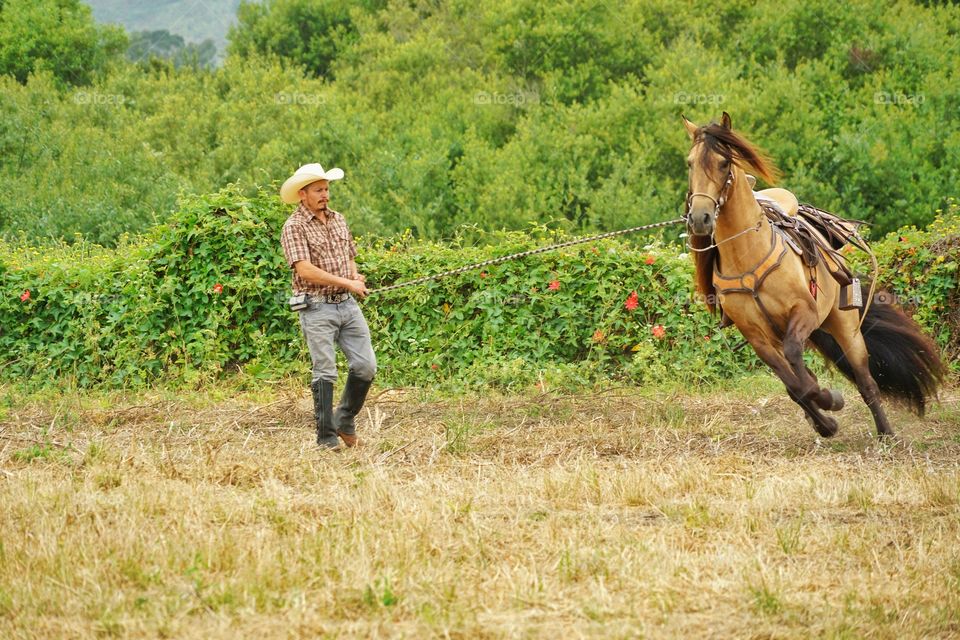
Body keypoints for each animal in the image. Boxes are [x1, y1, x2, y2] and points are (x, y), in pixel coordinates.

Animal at [684, 112, 944, 438]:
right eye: (690, 163)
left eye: (723, 162)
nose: (700, 218)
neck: (748, 257)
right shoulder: (757, 337)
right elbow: (794, 385)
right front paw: (826, 418)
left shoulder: (804, 312)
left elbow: (798, 362)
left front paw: (829, 400)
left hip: (845, 326)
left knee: (866, 381)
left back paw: (885, 433)